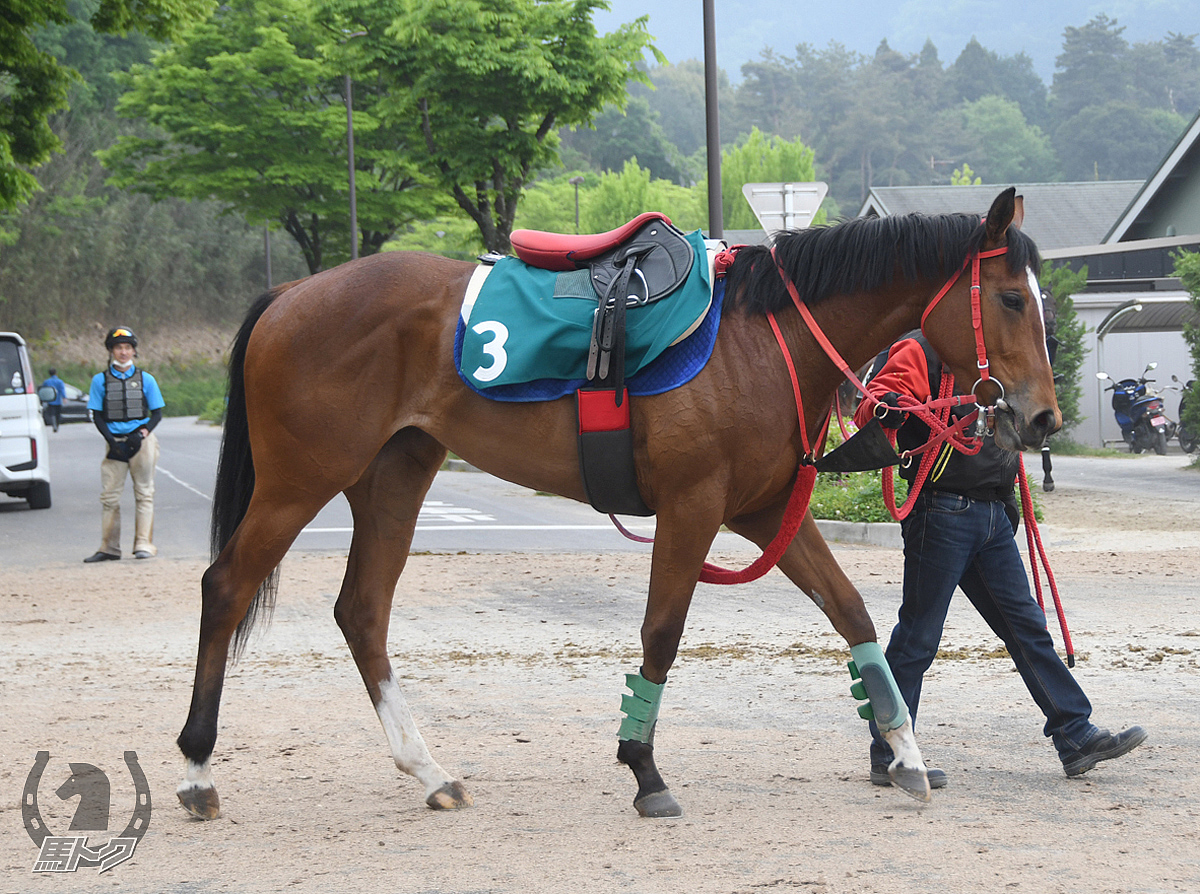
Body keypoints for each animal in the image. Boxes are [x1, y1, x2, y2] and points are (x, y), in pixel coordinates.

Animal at [174, 188, 1056, 820]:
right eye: (1013, 299)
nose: (1043, 417)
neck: (760, 337)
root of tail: (292, 292)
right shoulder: (694, 506)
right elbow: (661, 635)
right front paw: (644, 768)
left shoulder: (766, 510)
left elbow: (853, 614)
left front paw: (905, 753)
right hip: (300, 480)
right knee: (227, 587)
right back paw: (196, 767)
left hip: (394, 476)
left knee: (361, 611)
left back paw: (429, 771)